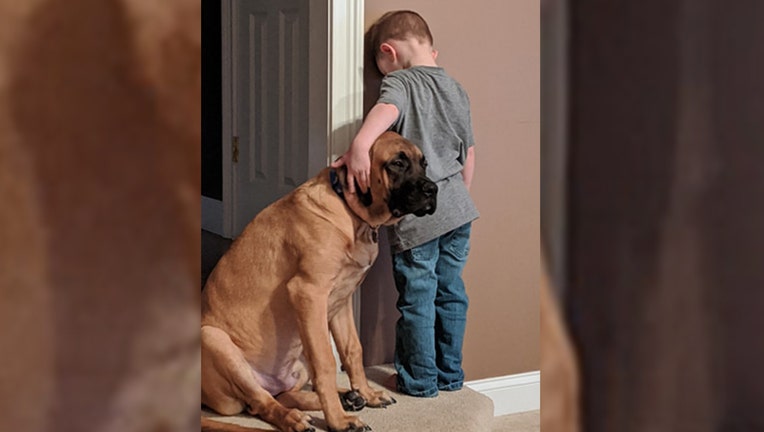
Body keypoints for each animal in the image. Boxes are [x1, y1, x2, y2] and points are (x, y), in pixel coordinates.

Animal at [200, 132, 436, 432]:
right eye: (397, 163)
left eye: (423, 163)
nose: (433, 190)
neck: (350, 214)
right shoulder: (308, 293)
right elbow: (325, 362)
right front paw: (338, 421)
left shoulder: (342, 300)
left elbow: (352, 350)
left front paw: (367, 394)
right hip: (215, 340)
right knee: (261, 403)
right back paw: (298, 418)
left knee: (283, 394)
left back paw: (350, 397)